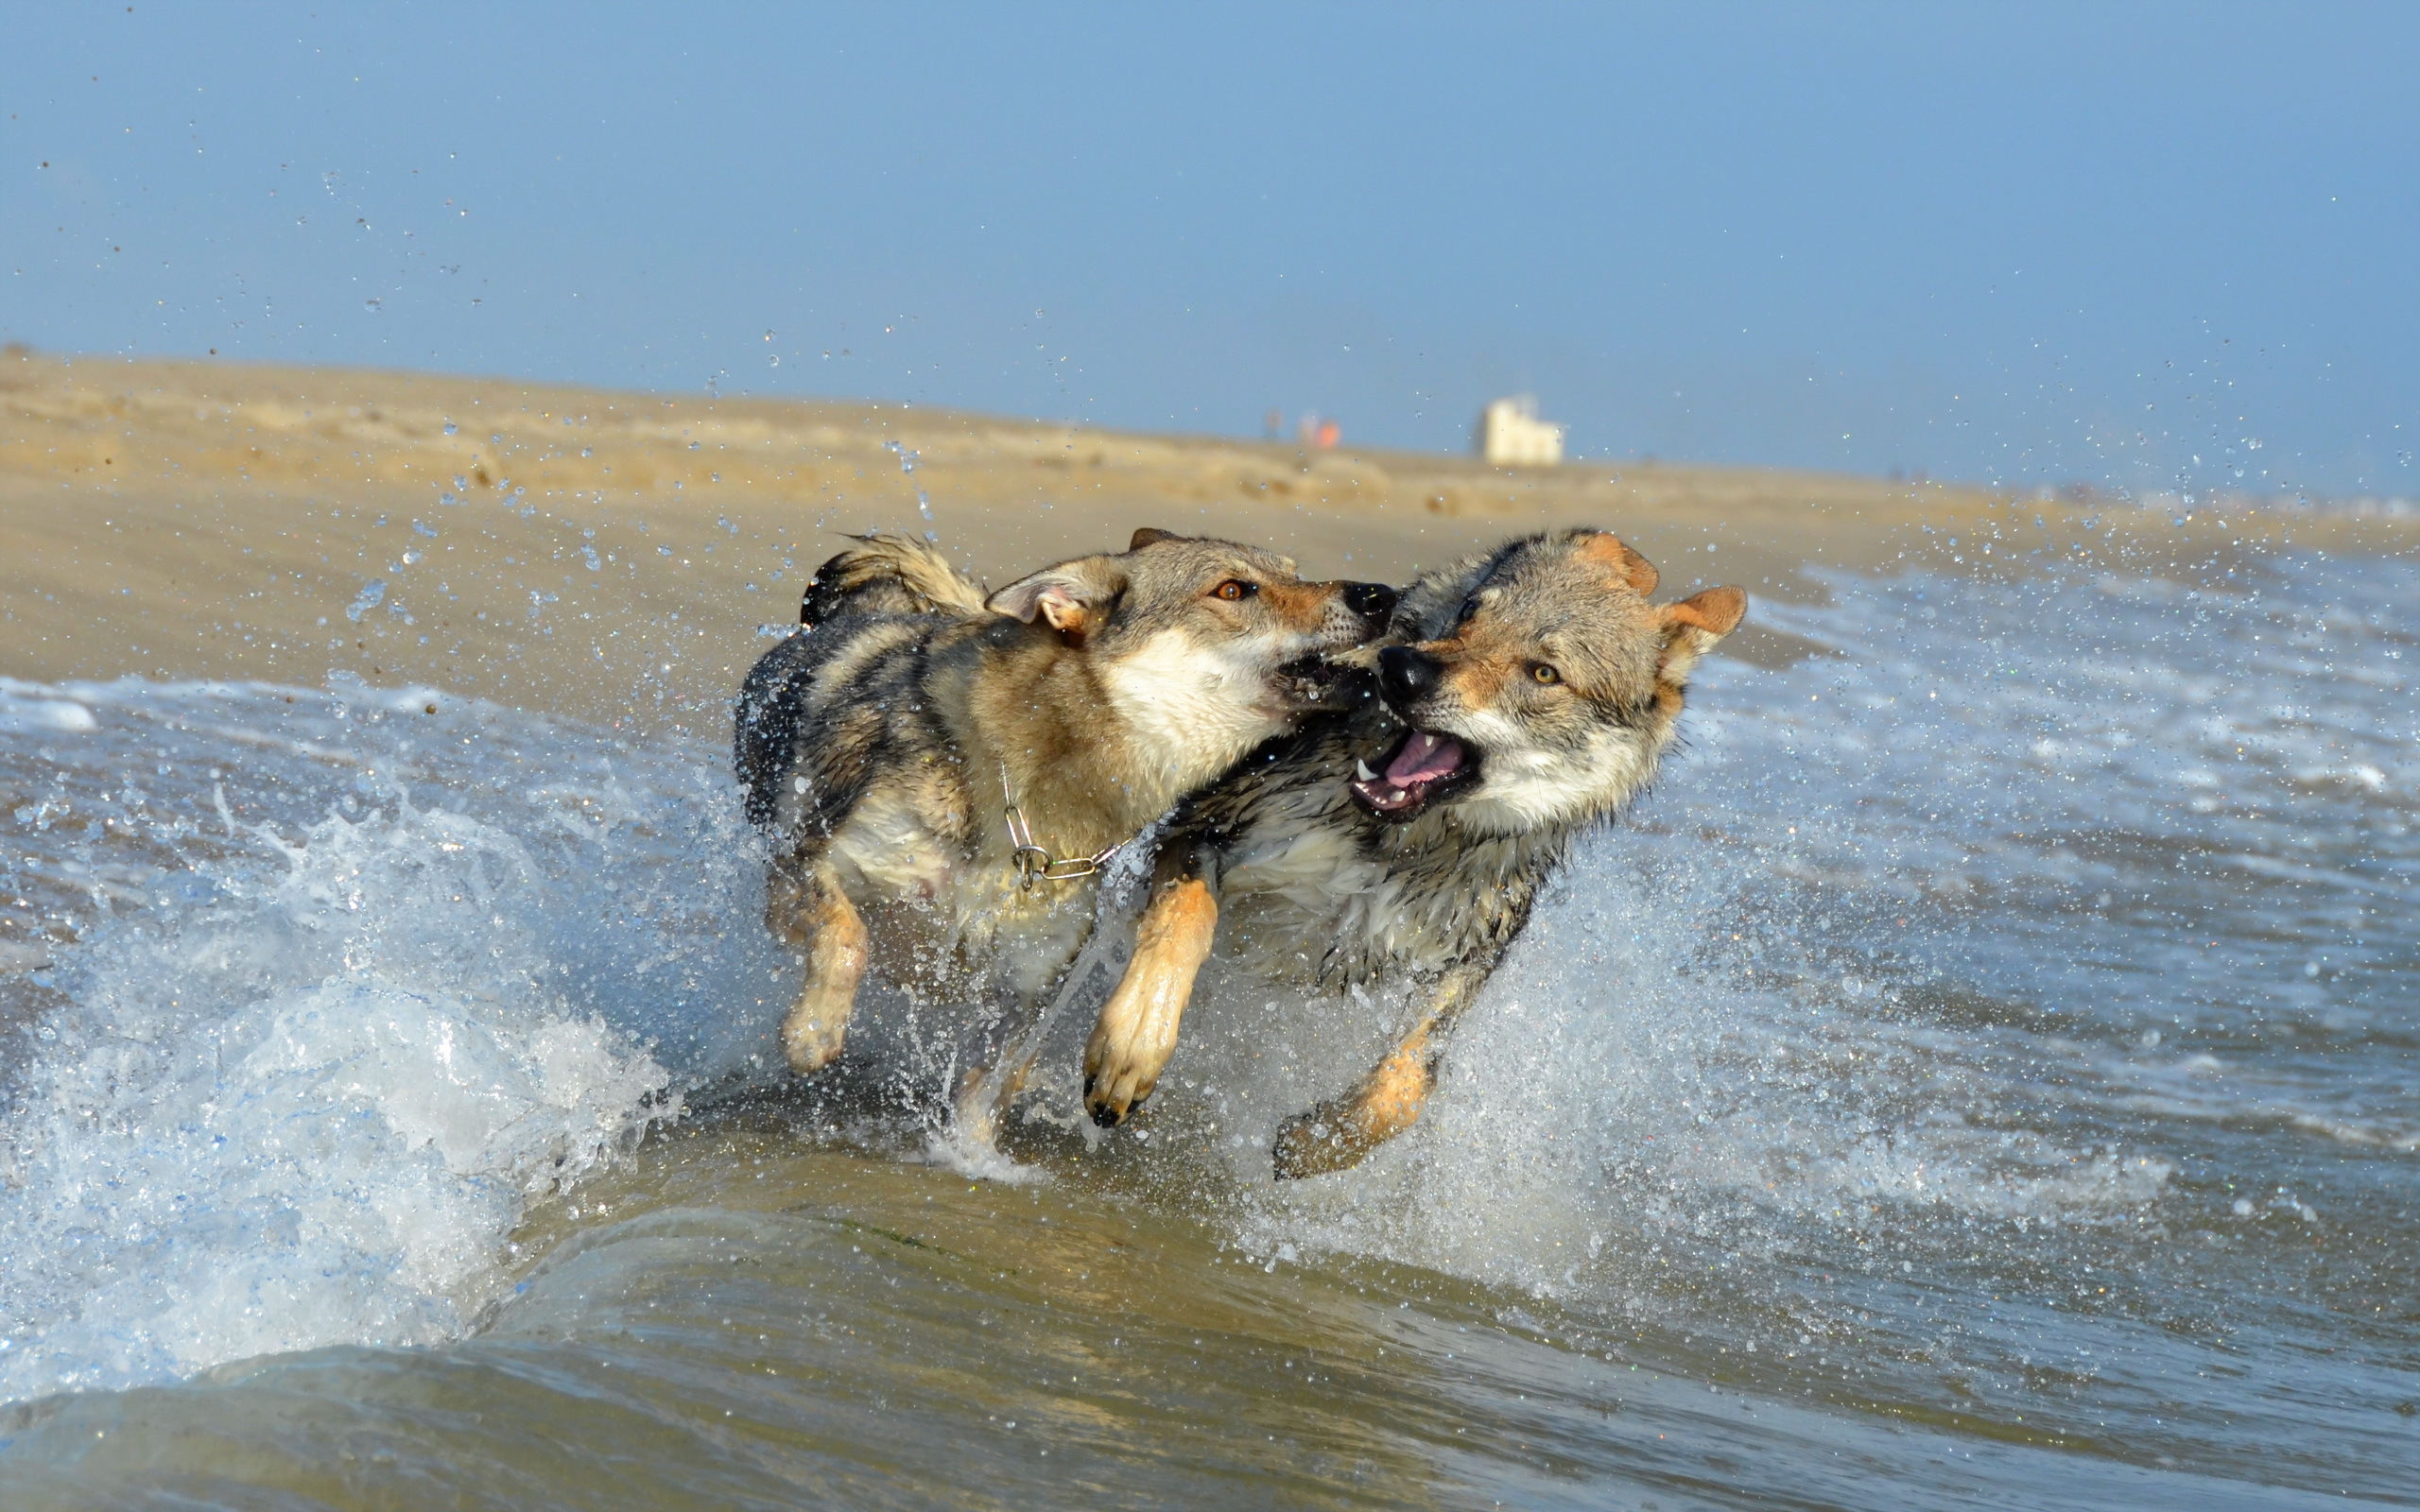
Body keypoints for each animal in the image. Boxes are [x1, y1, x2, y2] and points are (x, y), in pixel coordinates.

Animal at [1089, 524, 1752, 1176]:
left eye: (1544, 674)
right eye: (1471, 613)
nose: (1400, 668)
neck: (1389, 846)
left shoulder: (1463, 959)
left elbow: (1407, 1085)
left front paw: (1315, 1143)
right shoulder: (1204, 826)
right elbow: (1184, 919)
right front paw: (1134, 1045)